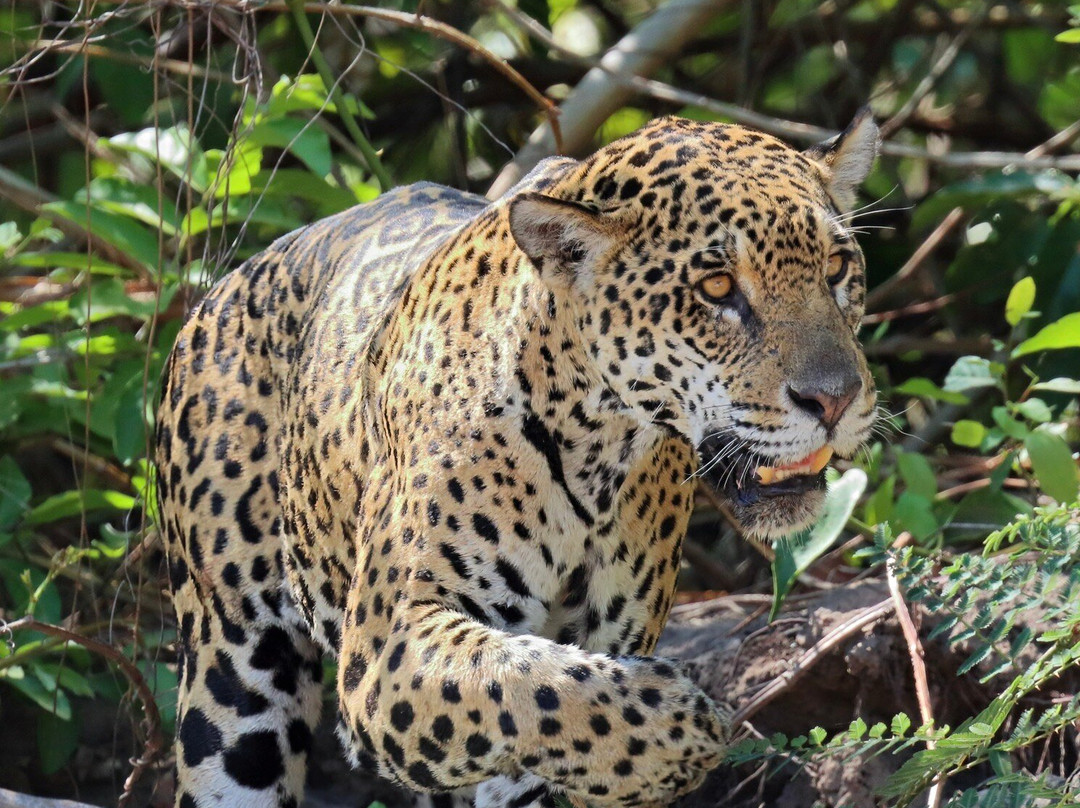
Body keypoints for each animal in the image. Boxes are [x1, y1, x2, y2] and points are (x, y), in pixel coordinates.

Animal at [154, 112, 880, 808]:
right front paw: (685, 727)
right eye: (717, 286)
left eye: (837, 268)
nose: (835, 398)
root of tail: (225, 285)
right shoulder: (388, 651)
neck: (597, 448)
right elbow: (532, 677)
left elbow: (548, 696)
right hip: (232, 676)